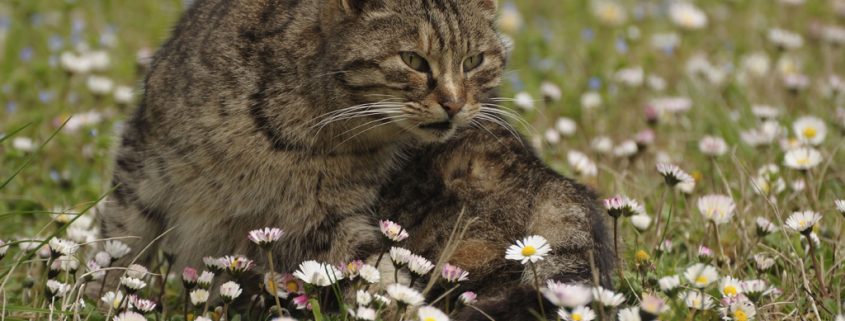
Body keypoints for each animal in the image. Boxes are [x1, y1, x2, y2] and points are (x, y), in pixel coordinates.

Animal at [102, 0, 608, 318]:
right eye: (413, 60)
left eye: (473, 62)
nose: (454, 103)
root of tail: (561, 186)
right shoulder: (142, 166)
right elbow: (118, 249)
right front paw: (103, 298)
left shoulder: (332, 225)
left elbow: (379, 282)